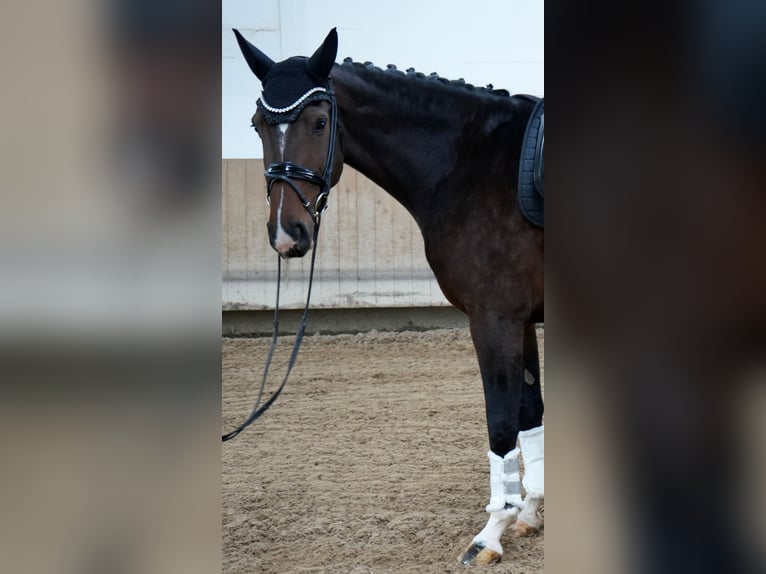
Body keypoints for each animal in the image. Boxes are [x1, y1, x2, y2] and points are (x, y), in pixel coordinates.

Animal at [231, 27, 544, 566]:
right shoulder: (520, 320)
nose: (287, 234)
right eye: (256, 125)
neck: (475, 166)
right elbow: (530, 416)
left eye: (319, 122)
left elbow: (502, 423)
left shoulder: (495, 318)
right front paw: (527, 513)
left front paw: (491, 533)